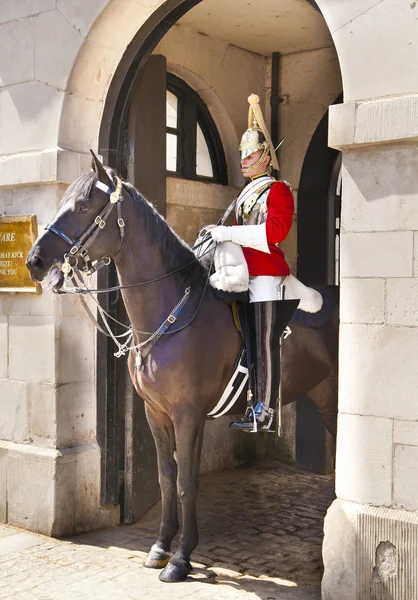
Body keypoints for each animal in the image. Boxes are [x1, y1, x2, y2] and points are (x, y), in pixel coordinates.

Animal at [26, 152, 338, 584]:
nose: (35, 262)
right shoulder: (155, 412)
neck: (169, 311)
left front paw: (182, 557)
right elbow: (166, 477)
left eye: (85, 205)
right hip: (324, 397)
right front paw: (160, 546)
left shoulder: (189, 414)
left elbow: (188, 481)